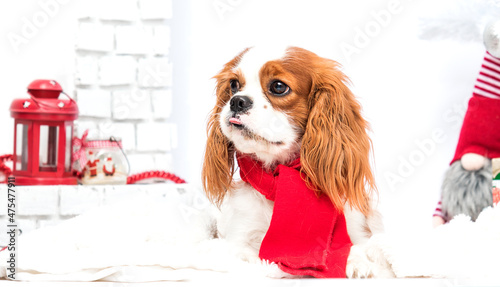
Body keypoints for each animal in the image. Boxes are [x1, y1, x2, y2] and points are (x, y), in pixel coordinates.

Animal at [201, 46, 392, 280]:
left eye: (278, 86)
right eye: (234, 84)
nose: (237, 101)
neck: (280, 178)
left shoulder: (358, 229)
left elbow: (354, 247)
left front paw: (355, 261)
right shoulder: (240, 234)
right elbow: (247, 253)